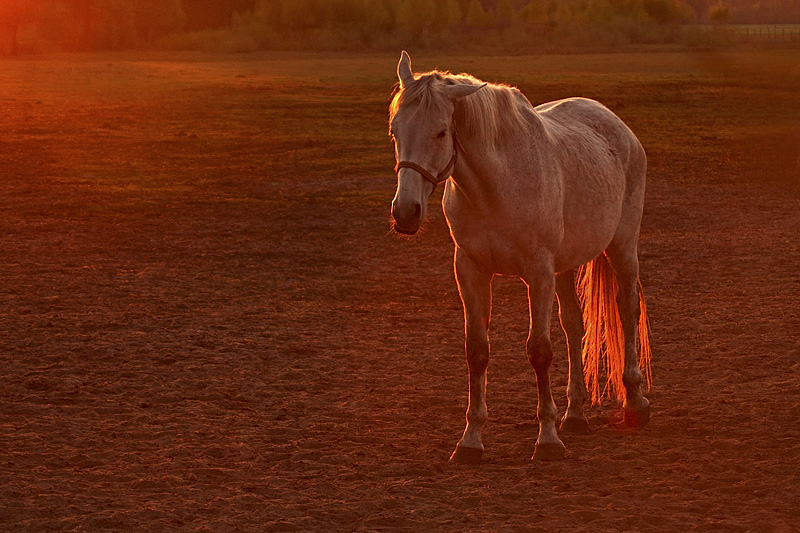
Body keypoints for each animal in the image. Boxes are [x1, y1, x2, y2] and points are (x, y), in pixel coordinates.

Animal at [390, 53, 652, 462]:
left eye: (441, 133)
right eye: (395, 131)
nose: (405, 212)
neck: (495, 187)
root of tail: (616, 126)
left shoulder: (538, 272)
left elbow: (539, 351)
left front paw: (547, 440)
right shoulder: (470, 271)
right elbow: (477, 350)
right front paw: (470, 440)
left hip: (621, 247)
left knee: (627, 310)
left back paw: (635, 403)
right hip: (565, 265)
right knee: (573, 325)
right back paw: (575, 414)